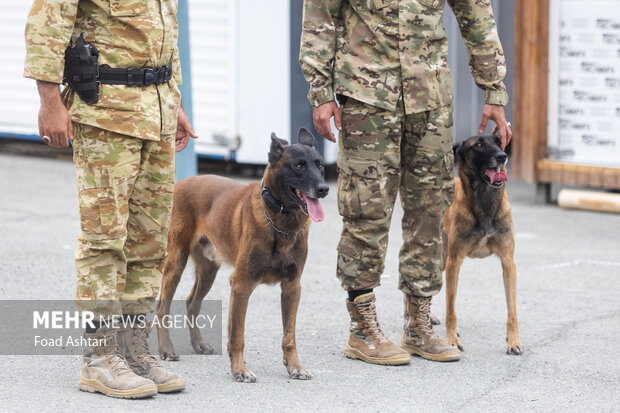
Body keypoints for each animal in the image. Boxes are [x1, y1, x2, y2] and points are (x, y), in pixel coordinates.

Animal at [156, 127, 330, 382]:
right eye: (298, 166)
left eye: (320, 166)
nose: (324, 189)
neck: (280, 222)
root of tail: (182, 182)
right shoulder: (241, 284)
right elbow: (237, 335)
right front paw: (240, 370)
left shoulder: (292, 287)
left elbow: (289, 336)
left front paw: (294, 367)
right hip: (176, 261)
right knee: (162, 306)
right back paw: (166, 349)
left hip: (209, 269)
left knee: (192, 303)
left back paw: (199, 344)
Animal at [440, 134, 524, 354]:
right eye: (479, 144)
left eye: (499, 141)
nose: (503, 156)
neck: (485, 202)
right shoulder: (454, 262)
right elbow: (450, 308)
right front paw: (451, 340)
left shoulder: (508, 263)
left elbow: (512, 310)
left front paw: (514, 341)